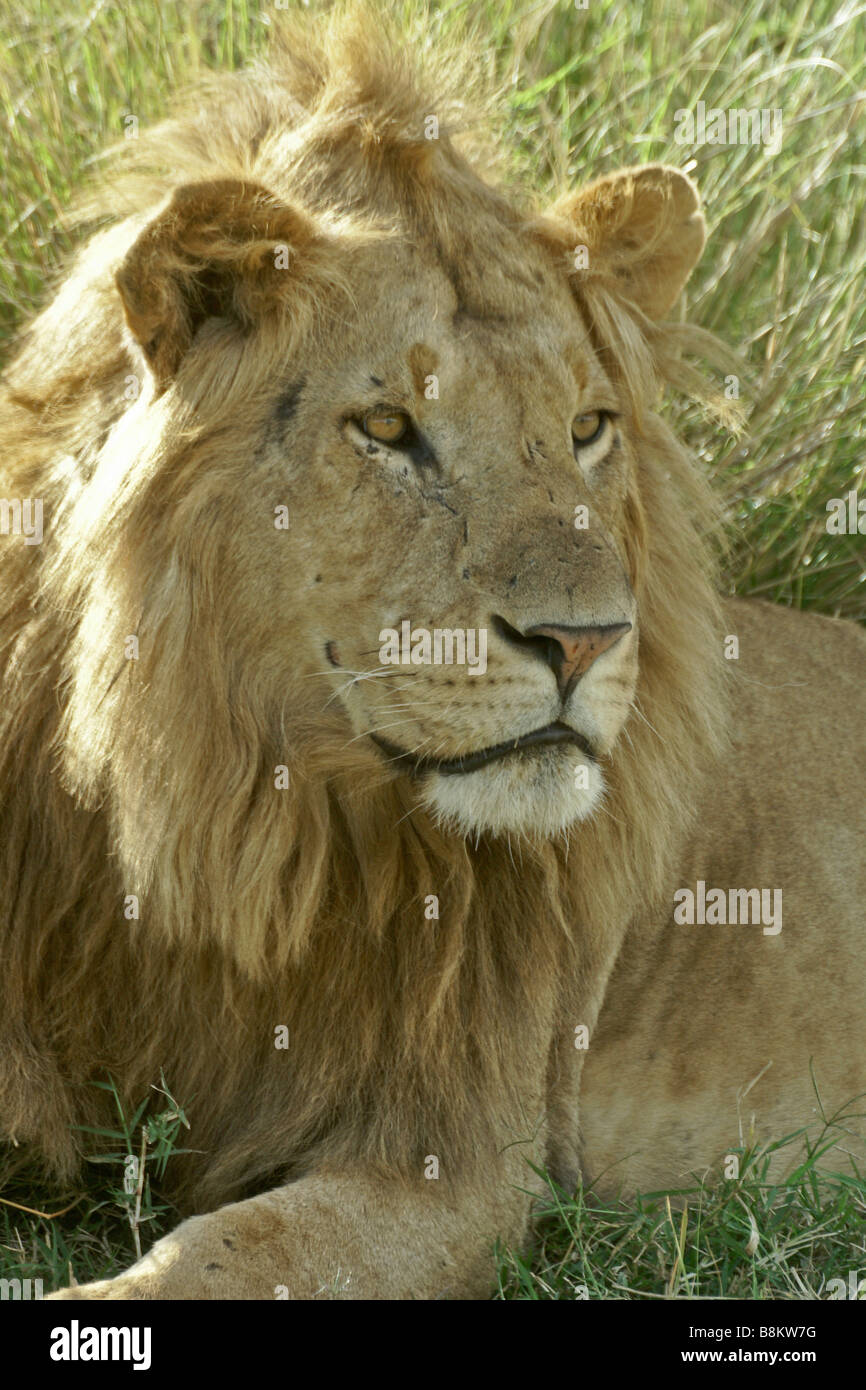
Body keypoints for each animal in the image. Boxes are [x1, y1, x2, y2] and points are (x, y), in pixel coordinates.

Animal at [1, 3, 864, 1301]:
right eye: (386, 428)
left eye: (586, 426)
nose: (583, 640)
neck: (233, 813)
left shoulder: (453, 1165)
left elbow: (225, 1254)